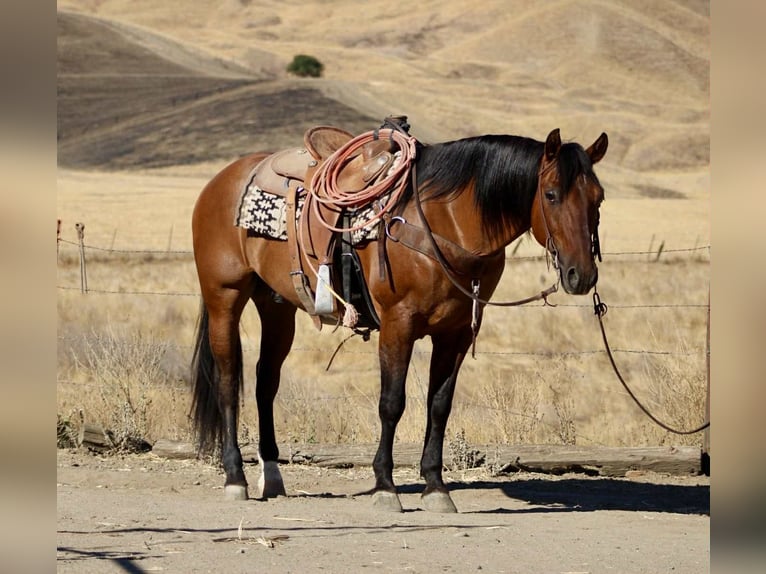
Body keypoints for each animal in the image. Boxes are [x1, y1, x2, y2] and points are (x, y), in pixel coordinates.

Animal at [190, 123, 608, 512]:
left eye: (598, 198)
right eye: (551, 195)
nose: (581, 275)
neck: (443, 223)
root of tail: (221, 180)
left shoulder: (455, 333)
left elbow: (439, 405)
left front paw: (436, 487)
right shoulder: (398, 324)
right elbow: (392, 403)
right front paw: (385, 487)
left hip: (276, 307)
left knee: (265, 382)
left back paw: (273, 476)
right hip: (224, 297)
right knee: (228, 381)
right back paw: (235, 478)